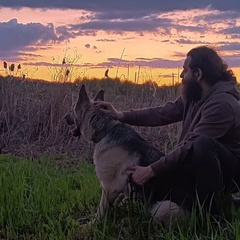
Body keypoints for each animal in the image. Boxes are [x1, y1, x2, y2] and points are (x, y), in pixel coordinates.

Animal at [65, 85, 186, 227]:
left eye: (73, 109)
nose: (65, 117)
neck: (106, 130)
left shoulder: (109, 187)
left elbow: (101, 210)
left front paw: (91, 225)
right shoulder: (119, 187)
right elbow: (113, 204)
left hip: (164, 207)